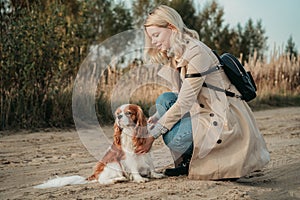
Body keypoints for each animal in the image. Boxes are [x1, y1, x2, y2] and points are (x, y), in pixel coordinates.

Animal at [34, 104, 164, 188]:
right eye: (118, 114)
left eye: (129, 113)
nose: (119, 117)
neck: (131, 132)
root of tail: (94, 175)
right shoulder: (128, 156)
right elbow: (134, 168)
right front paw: (139, 179)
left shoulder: (146, 151)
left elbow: (151, 165)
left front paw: (155, 174)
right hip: (114, 163)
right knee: (102, 180)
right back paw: (118, 179)